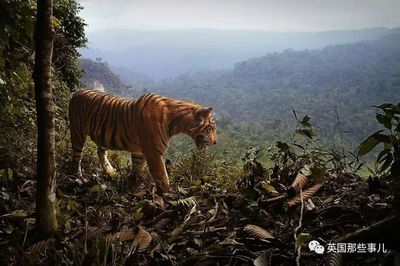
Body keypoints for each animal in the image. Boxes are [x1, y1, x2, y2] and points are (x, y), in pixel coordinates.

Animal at [69, 89, 219, 191]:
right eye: (211, 128)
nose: (215, 142)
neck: (176, 123)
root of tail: (77, 91)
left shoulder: (139, 151)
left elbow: (136, 168)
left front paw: (132, 184)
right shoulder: (154, 153)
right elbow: (162, 176)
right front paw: (168, 195)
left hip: (103, 137)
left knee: (100, 151)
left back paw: (110, 172)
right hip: (77, 133)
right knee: (76, 158)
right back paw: (78, 178)